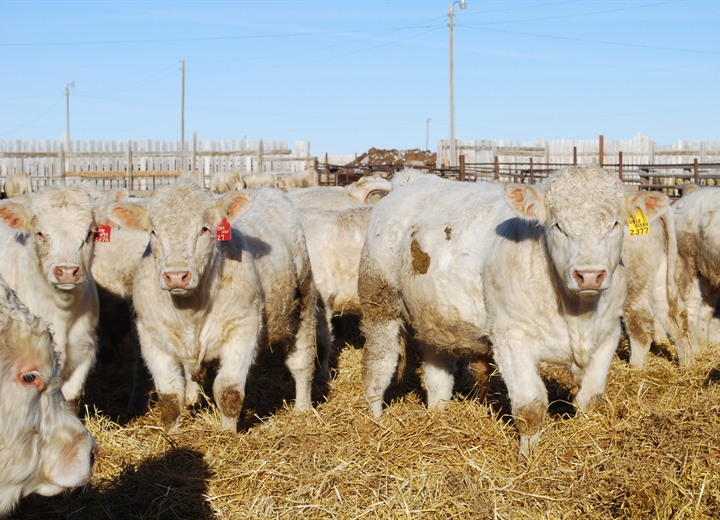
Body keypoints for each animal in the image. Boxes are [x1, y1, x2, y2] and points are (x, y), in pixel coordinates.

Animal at [107, 181, 318, 432]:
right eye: (153, 232)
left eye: (205, 229)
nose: (176, 276)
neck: (190, 310)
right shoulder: (152, 336)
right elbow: (169, 397)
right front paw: (172, 434)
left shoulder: (243, 328)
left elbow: (228, 390)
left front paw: (228, 432)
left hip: (303, 303)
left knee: (301, 363)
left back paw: (302, 408)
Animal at [362, 166, 672, 460]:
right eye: (558, 226)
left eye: (615, 224)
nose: (589, 275)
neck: (577, 313)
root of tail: (411, 181)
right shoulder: (511, 340)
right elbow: (531, 406)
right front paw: (528, 458)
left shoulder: (608, 334)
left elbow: (590, 398)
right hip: (380, 304)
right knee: (379, 365)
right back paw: (374, 420)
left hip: (434, 318)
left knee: (437, 376)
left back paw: (438, 414)